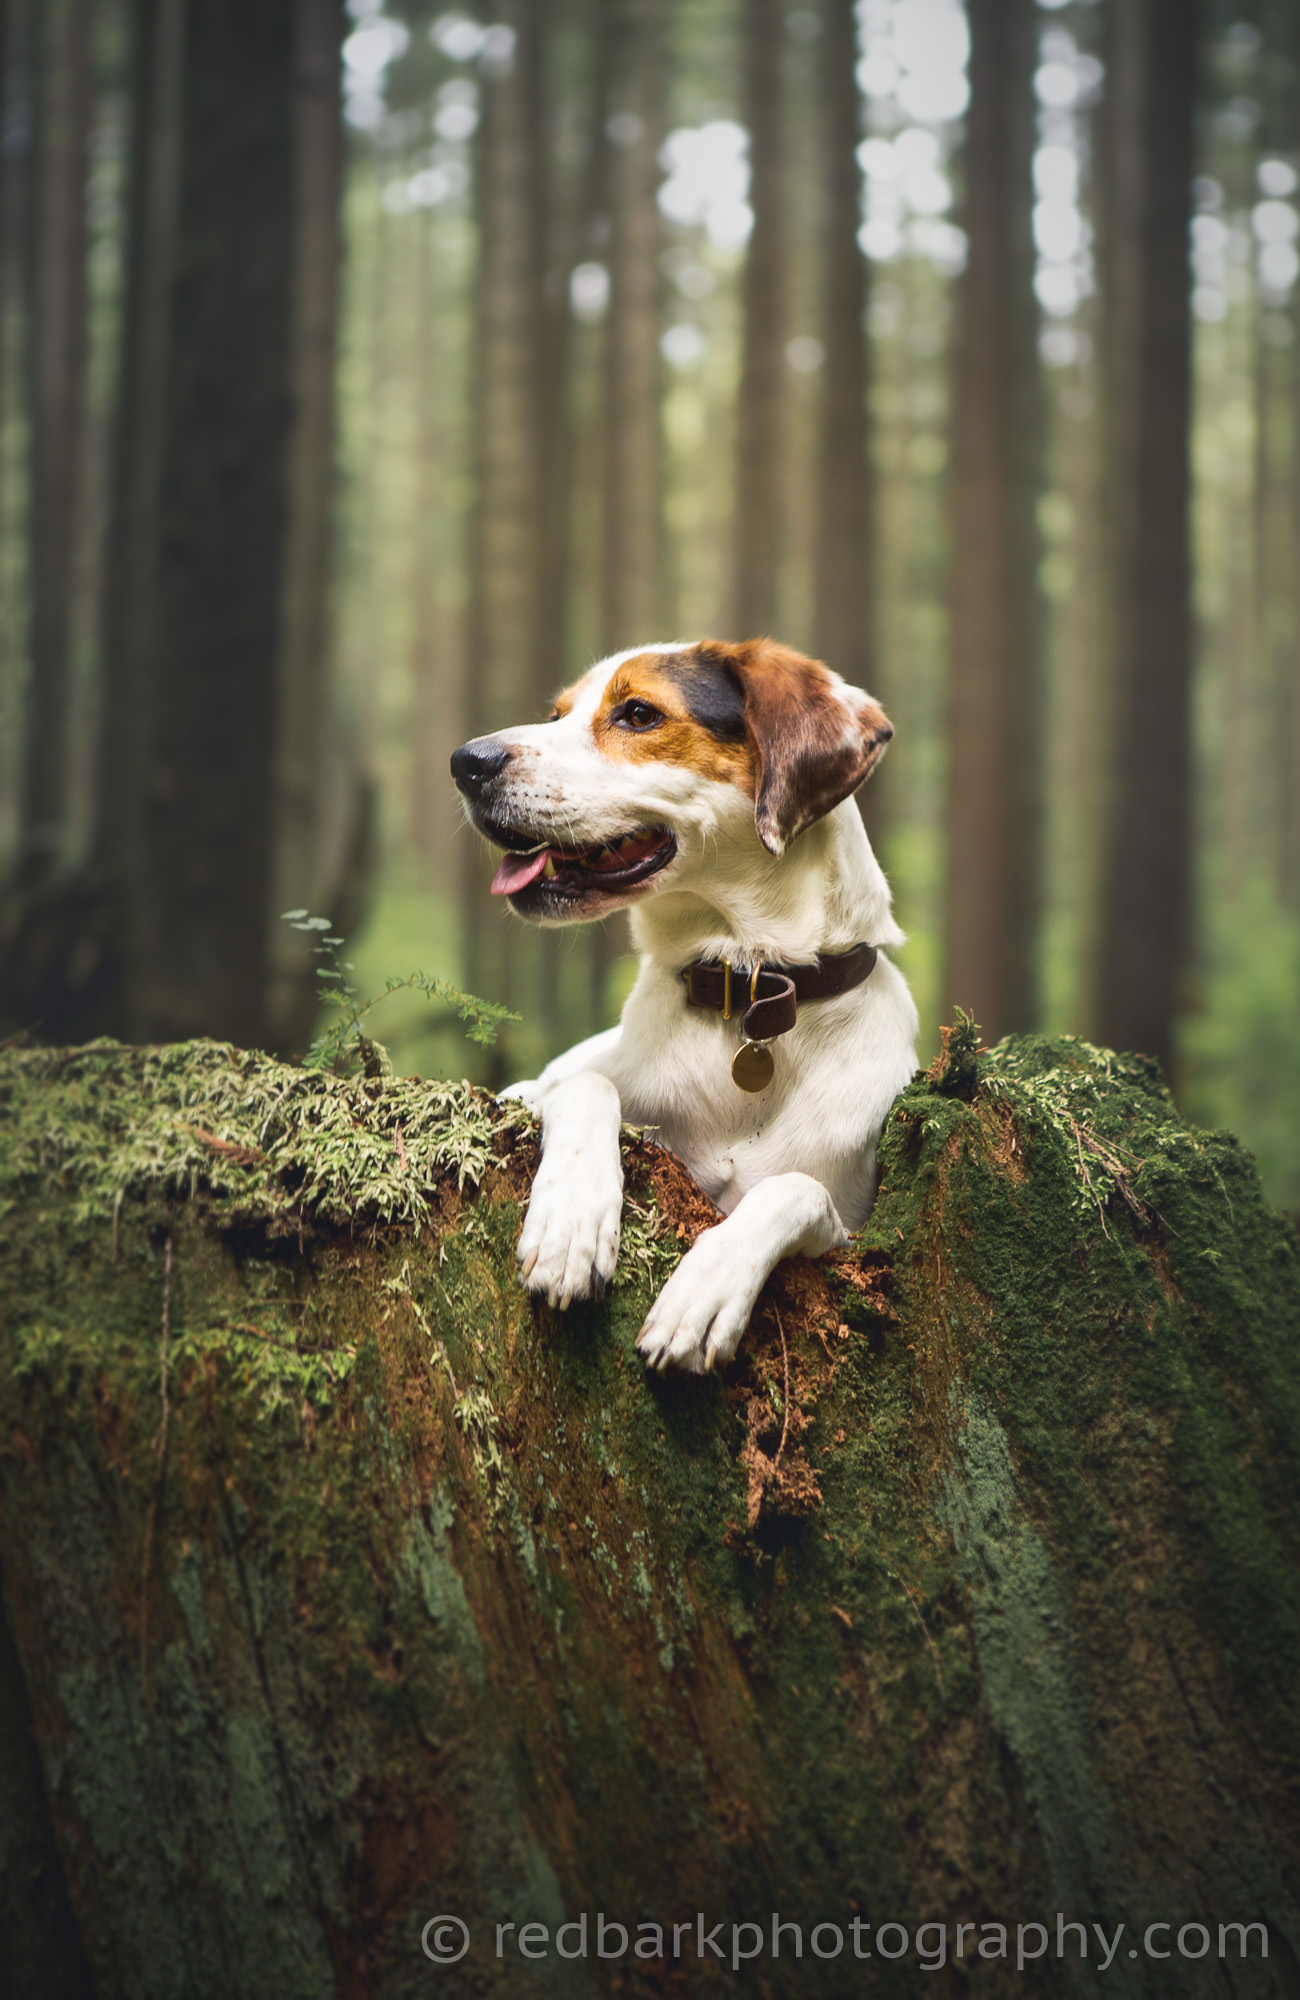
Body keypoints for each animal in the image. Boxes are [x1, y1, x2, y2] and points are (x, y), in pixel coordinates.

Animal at [450, 640, 916, 1376]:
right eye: (557, 715)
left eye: (639, 714)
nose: (466, 762)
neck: (745, 986)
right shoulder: (559, 1088)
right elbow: (585, 1086)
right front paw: (570, 1226)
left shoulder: (855, 1238)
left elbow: (794, 1189)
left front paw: (706, 1289)